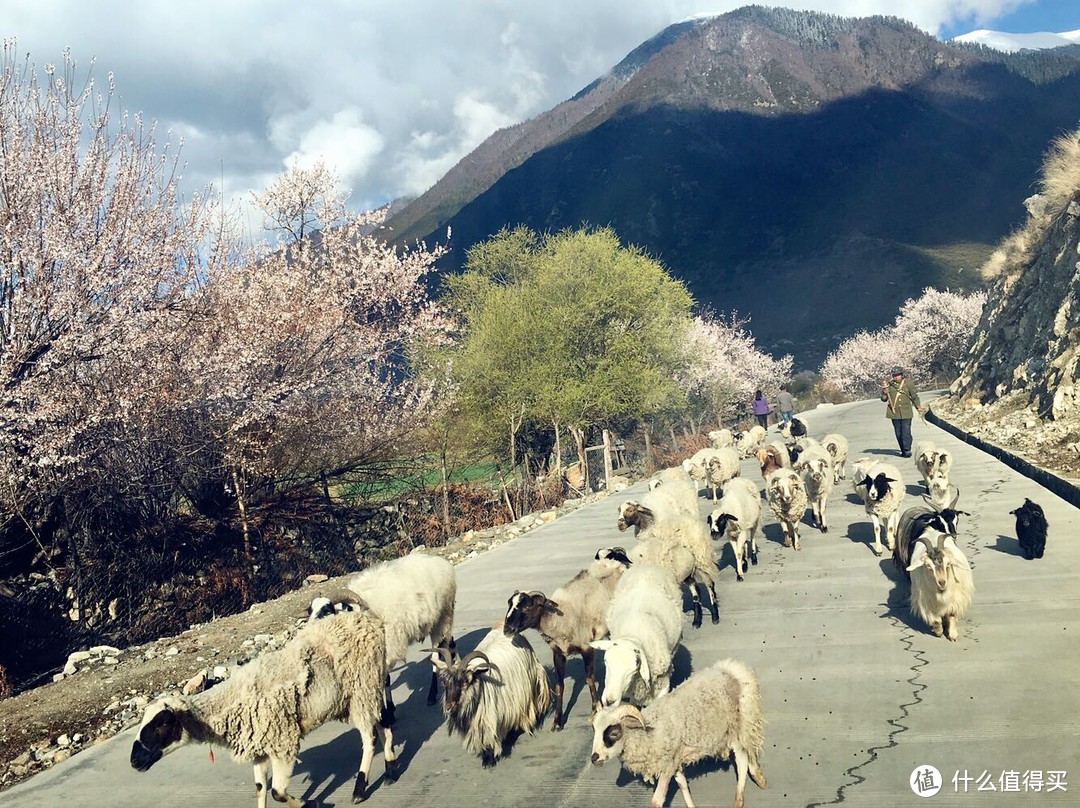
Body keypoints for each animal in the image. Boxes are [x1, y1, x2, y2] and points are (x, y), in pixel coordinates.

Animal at [129, 609, 395, 803]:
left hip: (361, 686)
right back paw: (390, 770)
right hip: (363, 690)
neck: (231, 701)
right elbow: (260, 788)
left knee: (369, 736)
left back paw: (359, 789)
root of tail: (370, 621)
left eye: (162, 723)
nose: (134, 762)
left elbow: (277, 793)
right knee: (382, 721)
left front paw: (308, 803)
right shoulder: (259, 747)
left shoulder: (283, 742)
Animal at [501, 553, 630, 730]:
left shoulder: (586, 648)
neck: (559, 618)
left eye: (526, 606)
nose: (507, 629)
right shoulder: (558, 653)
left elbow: (589, 679)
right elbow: (559, 686)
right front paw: (557, 722)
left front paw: (595, 710)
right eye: (509, 604)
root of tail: (617, 563)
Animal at [591, 561, 682, 708]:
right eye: (606, 662)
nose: (609, 701)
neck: (633, 637)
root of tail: (647, 566)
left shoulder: (663, 685)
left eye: (634, 669)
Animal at [591, 656, 768, 808]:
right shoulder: (673, 760)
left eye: (613, 733)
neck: (647, 733)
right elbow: (683, 786)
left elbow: (656, 801)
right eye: (595, 730)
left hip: (741, 721)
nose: (594, 758)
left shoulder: (667, 766)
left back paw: (742, 795)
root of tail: (731, 667)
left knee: (742, 758)